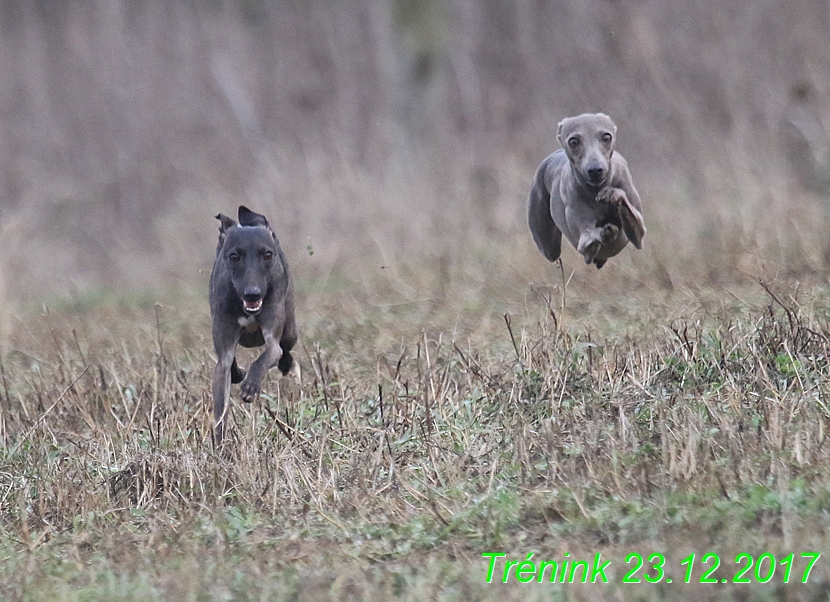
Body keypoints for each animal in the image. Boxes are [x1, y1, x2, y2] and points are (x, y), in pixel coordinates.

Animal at [210, 206, 298, 440]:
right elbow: (220, 409)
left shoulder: (272, 336)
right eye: (234, 257)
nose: (253, 293)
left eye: (267, 254)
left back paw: (285, 365)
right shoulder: (223, 351)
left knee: (286, 348)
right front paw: (220, 444)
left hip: (290, 329)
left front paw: (251, 385)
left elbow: (269, 354)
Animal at [528, 112, 648, 270]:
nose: (595, 170)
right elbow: (587, 240)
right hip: (548, 245)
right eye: (573, 141)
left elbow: (635, 224)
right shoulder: (583, 238)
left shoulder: (638, 235)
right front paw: (603, 234)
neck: (596, 189)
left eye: (606, 137)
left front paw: (613, 194)